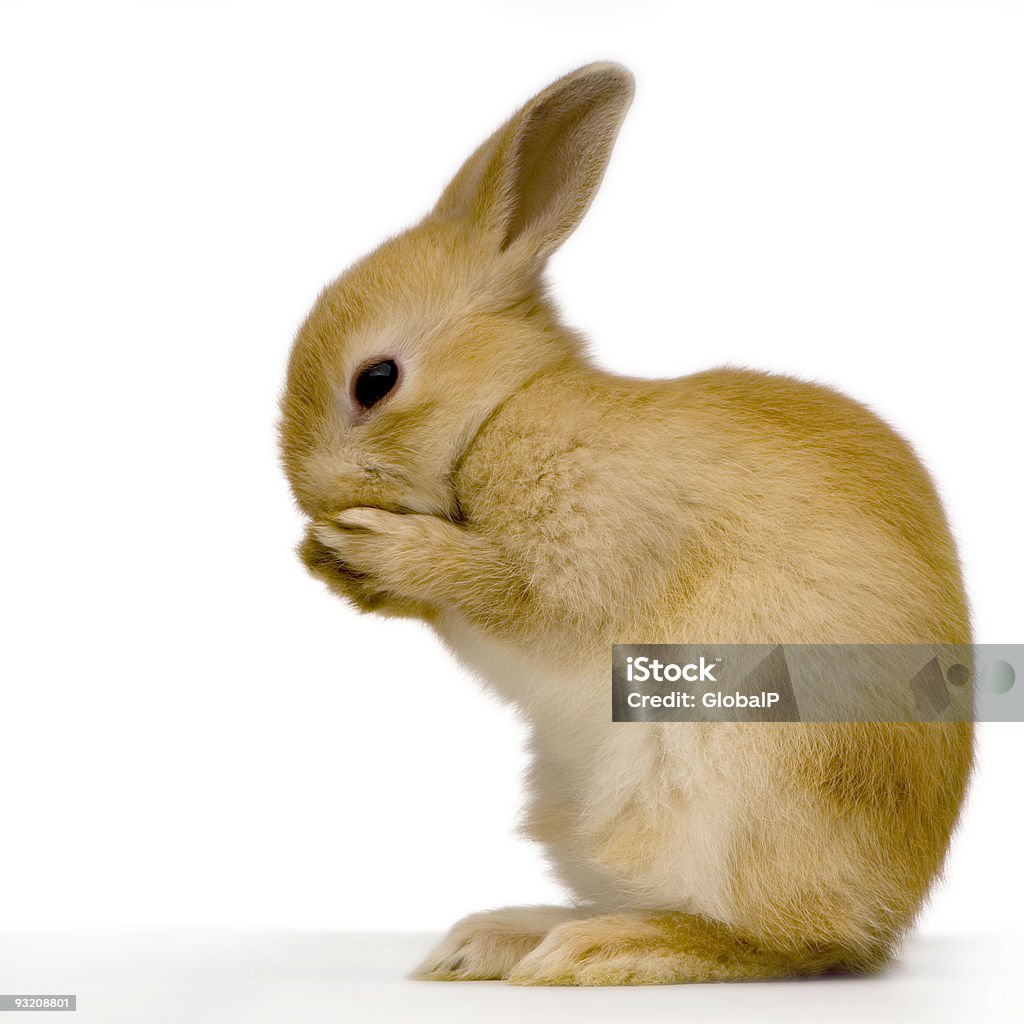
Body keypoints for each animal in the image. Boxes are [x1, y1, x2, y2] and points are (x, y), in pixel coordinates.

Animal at [280, 61, 974, 983]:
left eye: (376, 380)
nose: (313, 500)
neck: (502, 408)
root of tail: (892, 913)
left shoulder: (575, 570)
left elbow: (505, 597)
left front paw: (374, 546)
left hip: (734, 786)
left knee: (783, 940)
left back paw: (596, 951)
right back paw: (494, 940)